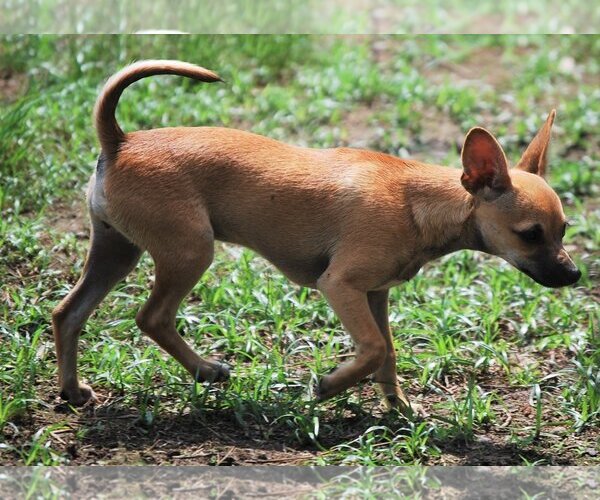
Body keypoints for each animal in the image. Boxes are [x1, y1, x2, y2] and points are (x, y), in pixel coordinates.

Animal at [52, 61, 580, 414]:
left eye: (564, 231)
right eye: (531, 235)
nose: (574, 275)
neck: (418, 201)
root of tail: (119, 142)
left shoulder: (375, 295)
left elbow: (388, 352)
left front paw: (398, 407)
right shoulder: (341, 285)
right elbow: (374, 349)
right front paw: (329, 387)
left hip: (117, 250)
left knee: (68, 313)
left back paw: (72, 391)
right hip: (191, 251)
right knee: (152, 317)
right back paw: (205, 370)